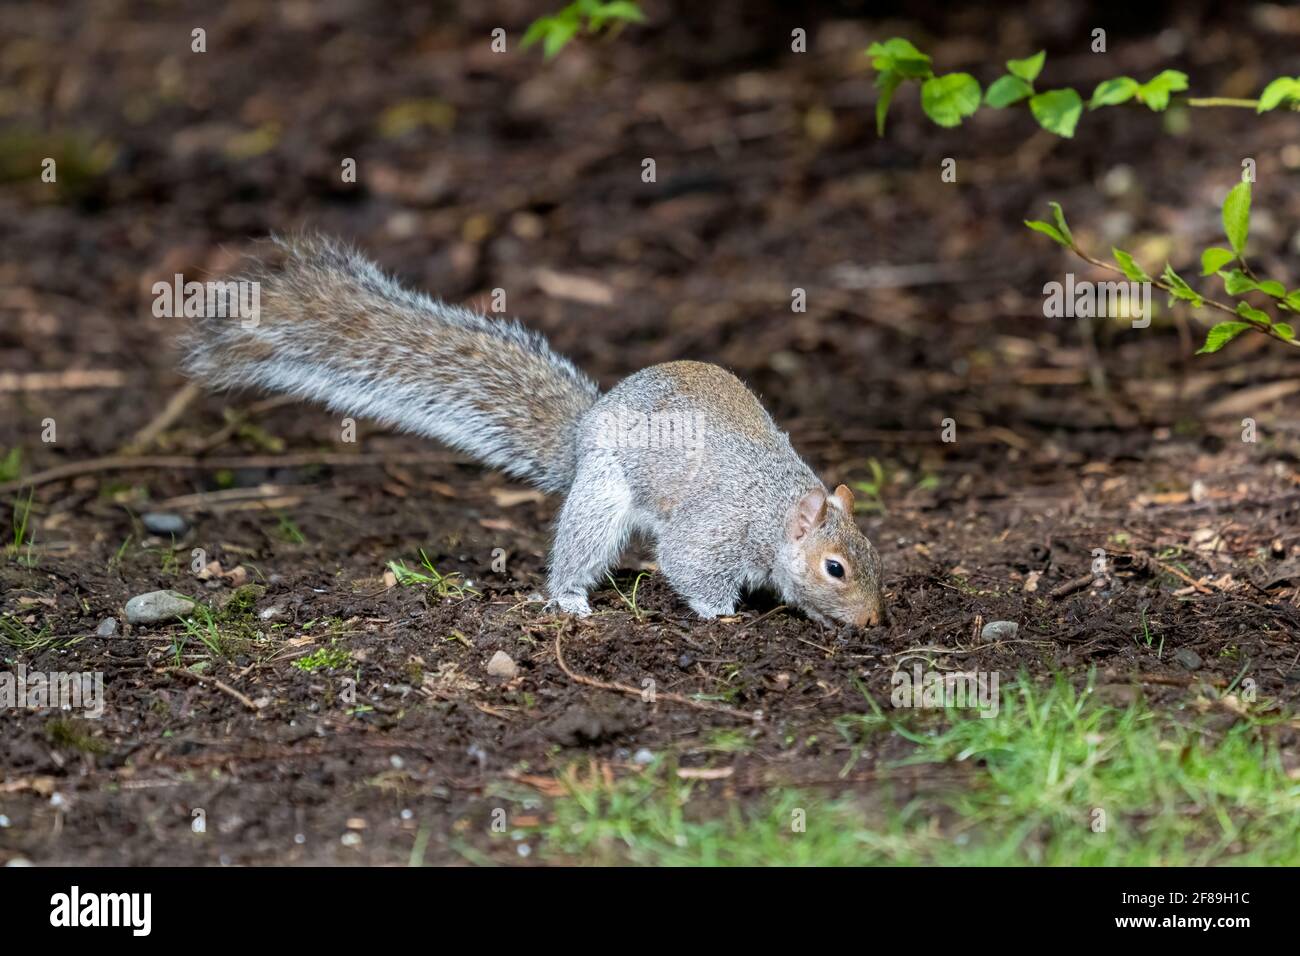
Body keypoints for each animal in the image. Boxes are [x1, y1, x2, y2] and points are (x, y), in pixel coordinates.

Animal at [183, 235, 885, 627]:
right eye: (835, 568)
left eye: (876, 557)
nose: (875, 621)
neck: (774, 508)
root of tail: (584, 431)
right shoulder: (714, 531)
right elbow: (688, 566)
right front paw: (723, 613)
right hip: (602, 497)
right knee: (578, 550)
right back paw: (571, 598)